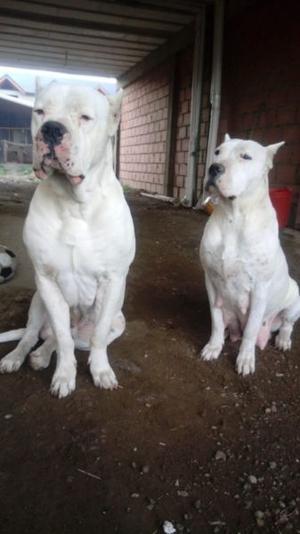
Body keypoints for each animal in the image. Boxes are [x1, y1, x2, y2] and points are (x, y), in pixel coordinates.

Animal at [0, 79, 135, 398]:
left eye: (85, 117)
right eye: (39, 112)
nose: (51, 129)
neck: (75, 204)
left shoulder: (112, 281)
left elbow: (95, 337)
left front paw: (100, 372)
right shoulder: (47, 281)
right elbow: (62, 338)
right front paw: (63, 375)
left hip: (117, 321)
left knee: (75, 337)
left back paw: (41, 355)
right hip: (38, 302)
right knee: (36, 335)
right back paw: (20, 356)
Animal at [199, 134, 300, 376]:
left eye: (246, 156)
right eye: (217, 152)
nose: (214, 168)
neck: (233, 217)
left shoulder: (259, 290)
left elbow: (251, 330)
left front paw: (245, 359)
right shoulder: (211, 282)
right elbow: (216, 321)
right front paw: (214, 346)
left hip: (295, 295)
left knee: (287, 324)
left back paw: (283, 339)